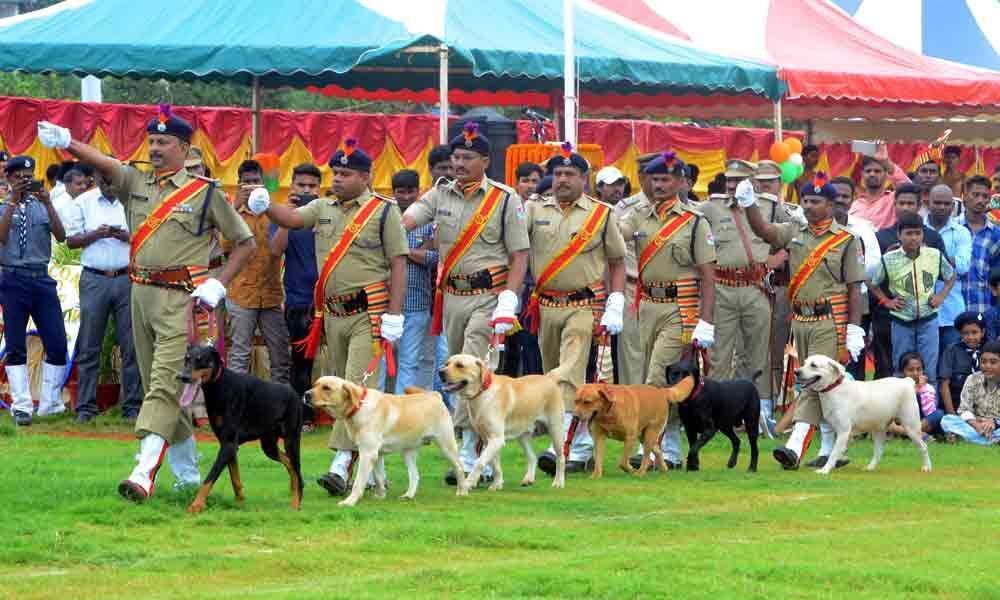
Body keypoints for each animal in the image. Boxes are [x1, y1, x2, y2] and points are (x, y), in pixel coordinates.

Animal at [180, 342, 304, 510]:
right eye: (187, 359)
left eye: (200, 360)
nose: (183, 377)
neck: (219, 385)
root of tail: (295, 394)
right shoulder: (228, 444)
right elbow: (235, 478)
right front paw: (240, 503)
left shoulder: (228, 444)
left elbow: (209, 478)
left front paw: (196, 505)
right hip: (269, 445)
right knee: (290, 463)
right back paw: (294, 489)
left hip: (291, 439)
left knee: (296, 468)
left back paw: (296, 503)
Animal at [442, 354, 568, 490]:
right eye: (447, 364)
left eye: (460, 365)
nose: (440, 372)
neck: (482, 392)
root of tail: (549, 379)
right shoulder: (489, 439)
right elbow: (495, 465)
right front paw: (497, 484)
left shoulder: (496, 439)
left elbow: (480, 462)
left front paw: (469, 482)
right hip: (523, 435)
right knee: (532, 457)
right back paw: (528, 479)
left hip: (555, 430)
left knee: (561, 458)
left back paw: (558, 482)